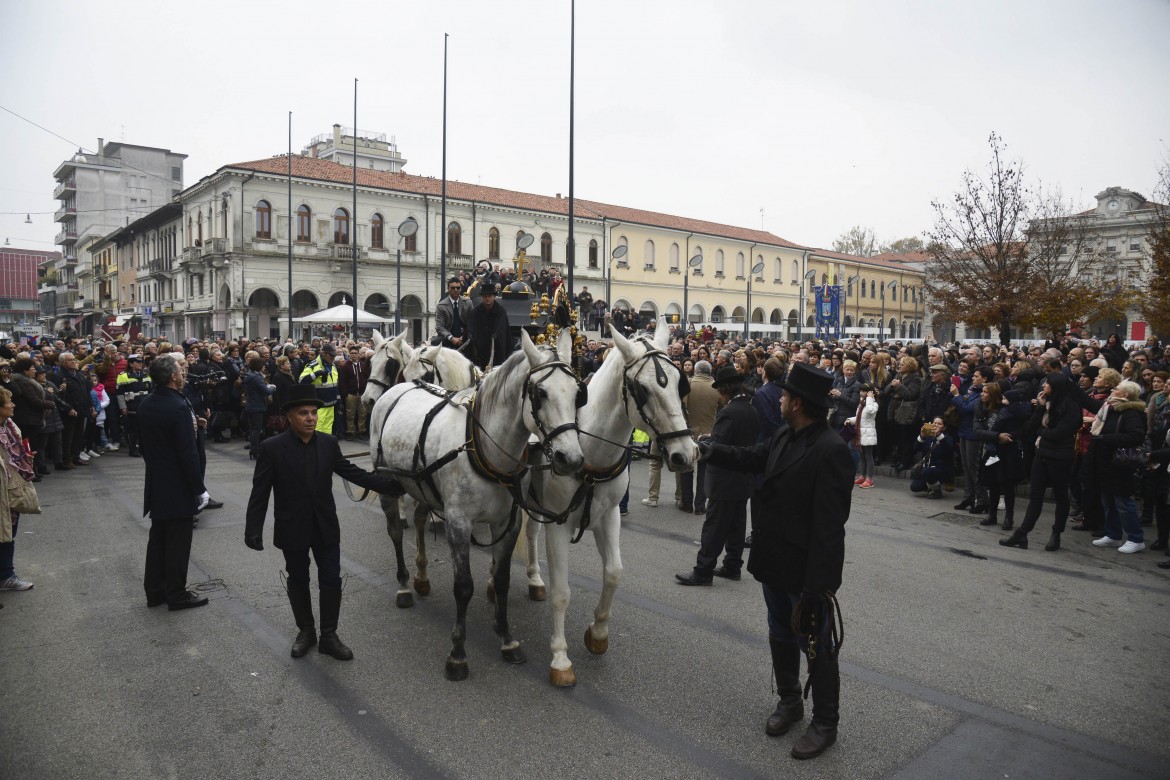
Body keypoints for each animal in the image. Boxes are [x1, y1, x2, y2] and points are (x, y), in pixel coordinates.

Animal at [365, 332, 585, 678]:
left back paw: (422, 577)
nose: (571, 458)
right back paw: (403, 586)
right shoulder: (458, 522)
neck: (484, 447)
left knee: (418, 518)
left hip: (422, 486)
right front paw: (457, 652)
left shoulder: (507, 521)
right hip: (389, 484)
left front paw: (507, 639)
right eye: (540, 393)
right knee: (396, 532)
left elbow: (504, 580)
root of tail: (397, 390)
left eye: (578, 393)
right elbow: (463, 586)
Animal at [521, 320, 692, 687]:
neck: (588, 452)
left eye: (679, 382)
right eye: (642, 390)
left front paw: (598, 634)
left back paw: (534, 579)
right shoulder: (558, 523)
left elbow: (614, 573)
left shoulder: (608, 515)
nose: (686, 454)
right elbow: (562, 592)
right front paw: (560, 658)